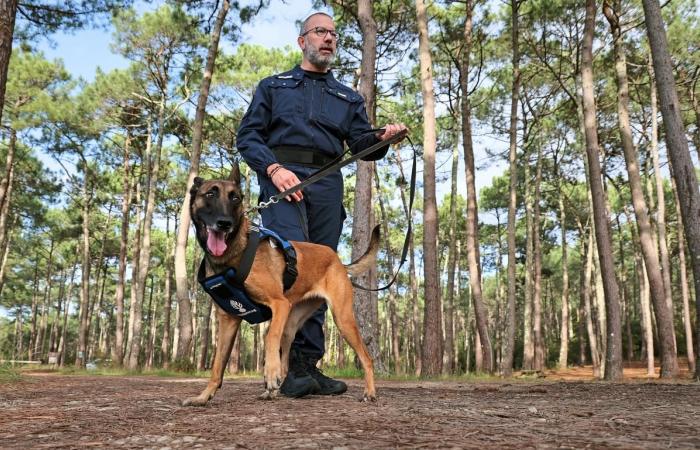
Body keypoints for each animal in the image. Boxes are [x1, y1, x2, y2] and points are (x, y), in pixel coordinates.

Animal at [180, 165, 378, 404]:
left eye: (235, 198)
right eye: (210, 194)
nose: (224, 223)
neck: (234, 253)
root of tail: (339, 261)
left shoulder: (278, 304)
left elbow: (269, 337)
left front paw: (270, 373)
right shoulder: (229, 319)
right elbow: (218, 365)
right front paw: (204, 396)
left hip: (343, 319)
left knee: (366, 357)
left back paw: (370, 392)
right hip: (292, 323)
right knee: (286, 353)